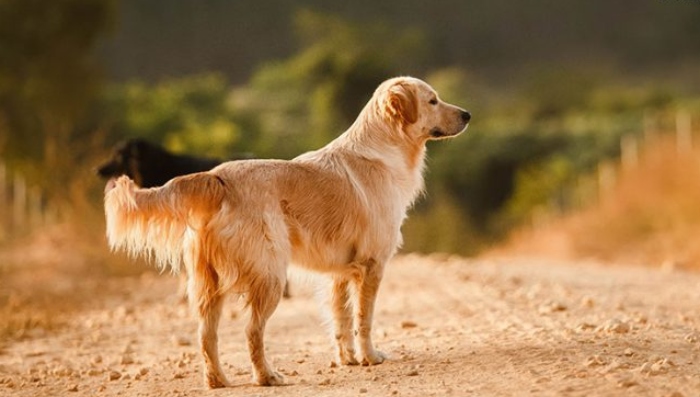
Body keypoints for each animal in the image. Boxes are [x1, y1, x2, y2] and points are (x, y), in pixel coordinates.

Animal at [104, 76, 470, 386]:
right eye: (433, 100)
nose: (467, 114)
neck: (385, 148)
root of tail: (217, 177)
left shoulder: (340, 272)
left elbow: (341, 320)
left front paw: (347, 359)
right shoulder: (372, 264)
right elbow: (363, 318)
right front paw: (369, 357)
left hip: (208, 284)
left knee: (206, 335)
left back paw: (218, 380)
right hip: (270, 276)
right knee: (252, 331)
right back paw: (267, 376)